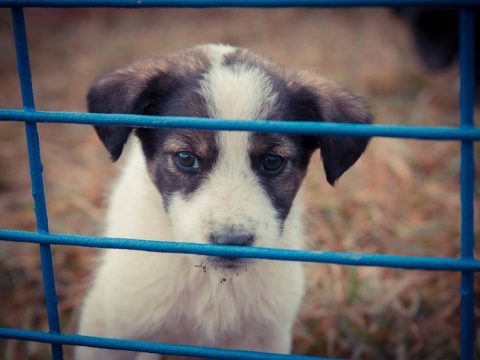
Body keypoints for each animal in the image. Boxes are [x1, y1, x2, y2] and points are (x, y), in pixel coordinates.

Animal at [77, 43, 374, 358]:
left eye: (272, 161)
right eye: (186, 158)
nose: (231, 241)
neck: (212, 282)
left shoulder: (267, 337)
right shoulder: (110, 326)